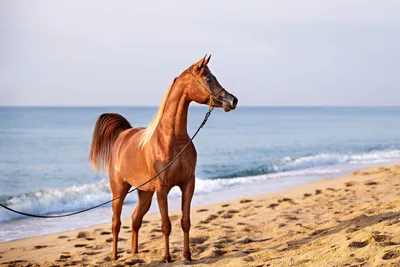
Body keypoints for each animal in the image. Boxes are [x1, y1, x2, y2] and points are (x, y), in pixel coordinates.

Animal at [89, 55, 238, 262]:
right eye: (208, 78)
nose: (233, 100)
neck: (172, 140)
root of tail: (123, 135)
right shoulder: (162, 188)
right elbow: (166, 224)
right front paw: (167, 257)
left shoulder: (188, 184)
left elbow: (185, 221)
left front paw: (187, 255)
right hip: (119, 190)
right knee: (116, 223)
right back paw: (114, 257)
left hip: (145, 193)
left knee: (135, 219)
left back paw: (135, 254)